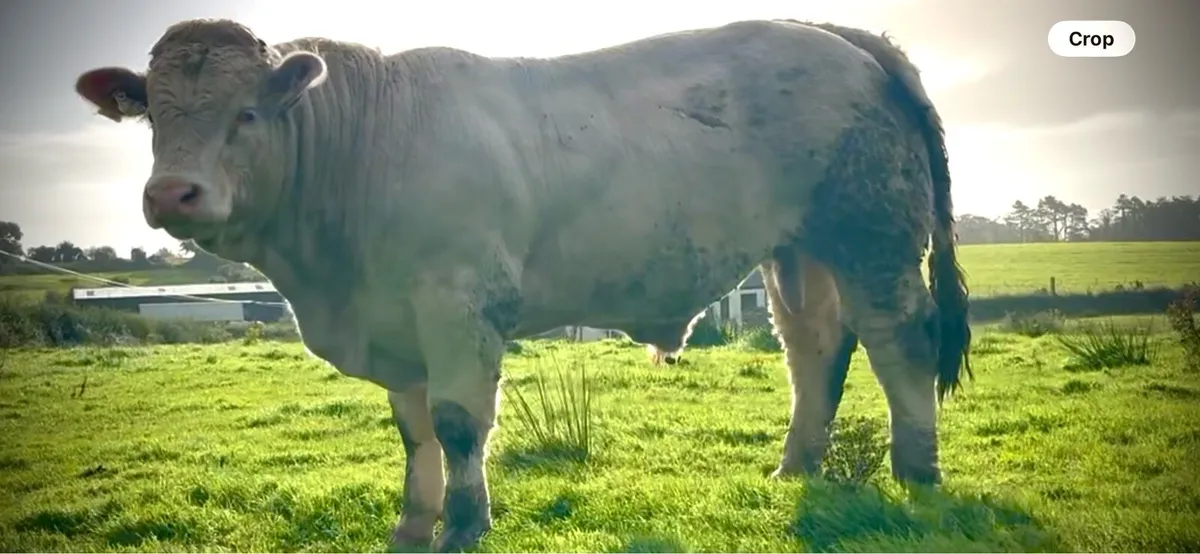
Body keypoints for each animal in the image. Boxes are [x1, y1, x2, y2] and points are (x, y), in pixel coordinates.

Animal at [74, 17, 971, 552]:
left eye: (247, 115)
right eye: (154, 116)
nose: (171, 195)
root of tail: (840, 36)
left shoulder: (457, 303)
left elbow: (458, 423)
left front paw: (465, 526)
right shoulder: (397, 321)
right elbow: (415, 433)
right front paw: (413, 525)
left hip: (871, 234)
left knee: (900, 341)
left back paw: (917, 471)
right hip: (802, 249)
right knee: (814, 350)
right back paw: (794, 469)